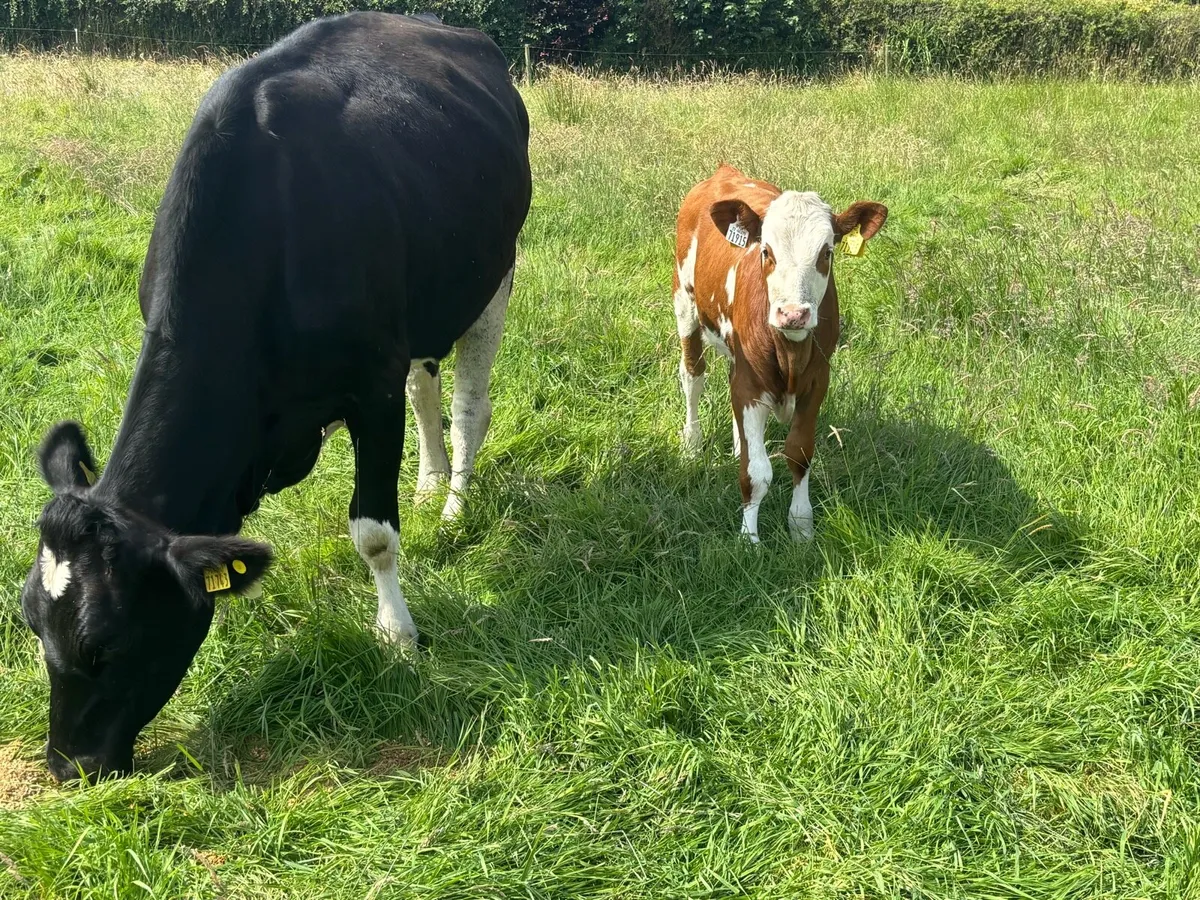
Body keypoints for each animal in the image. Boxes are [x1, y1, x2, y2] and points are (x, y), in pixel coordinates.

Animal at [19, 11, 531, 782]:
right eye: (30, 622)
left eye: (104, 644)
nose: (69, 767)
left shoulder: (370, 386)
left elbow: (373, 534)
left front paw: (397, 635)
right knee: (425, 388)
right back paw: (429, 481)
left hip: (491, 275)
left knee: (470, 404)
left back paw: (453, 503)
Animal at [673, 164, 887, 543]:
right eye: (766, 251)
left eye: (827, 252)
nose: (793, 313)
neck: (790, 352)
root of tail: (724, 171)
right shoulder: (749, 385)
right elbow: (757, 473)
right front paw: (749, 540)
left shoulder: (816, 383)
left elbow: (799, 453)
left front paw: (801, 527)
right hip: (685, 303)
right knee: (693, 377)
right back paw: (692, 444)